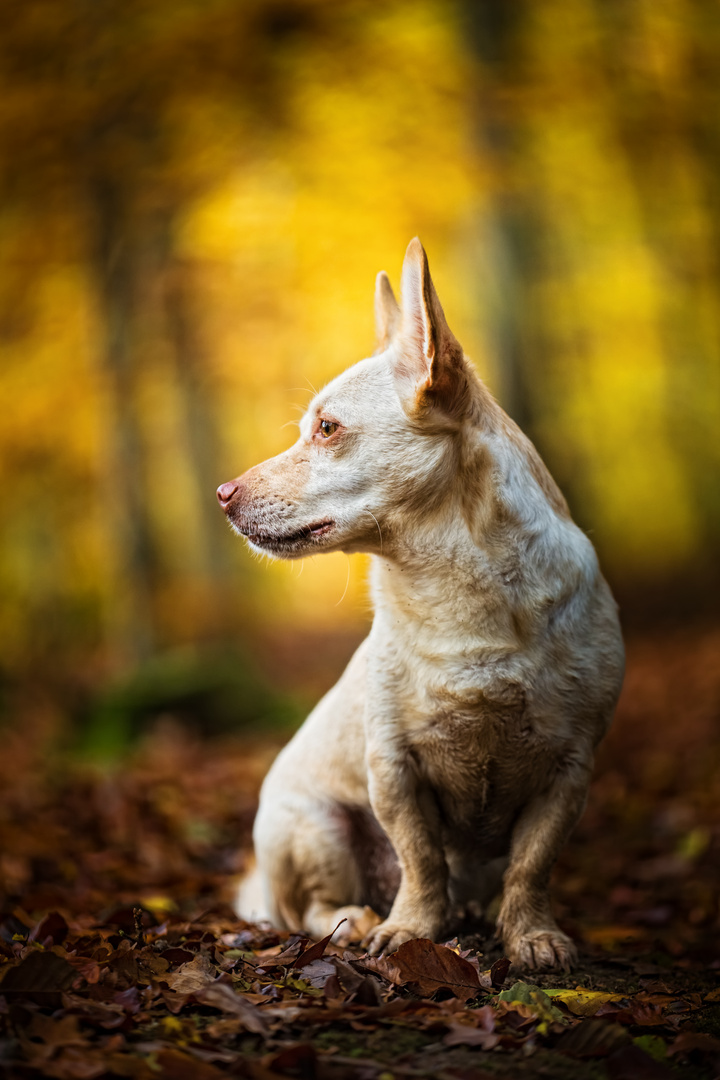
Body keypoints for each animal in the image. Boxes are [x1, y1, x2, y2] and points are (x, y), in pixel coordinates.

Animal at [215, 238, 626, 972]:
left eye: (326, 428)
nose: (222, 494)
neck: (454, 590)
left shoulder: (570, 769)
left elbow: (533, 865)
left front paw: (532, 935)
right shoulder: (393, 768)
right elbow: (421, 857)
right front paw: (410, 930)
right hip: (312, 825)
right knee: (310, 906)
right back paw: (355, 918)